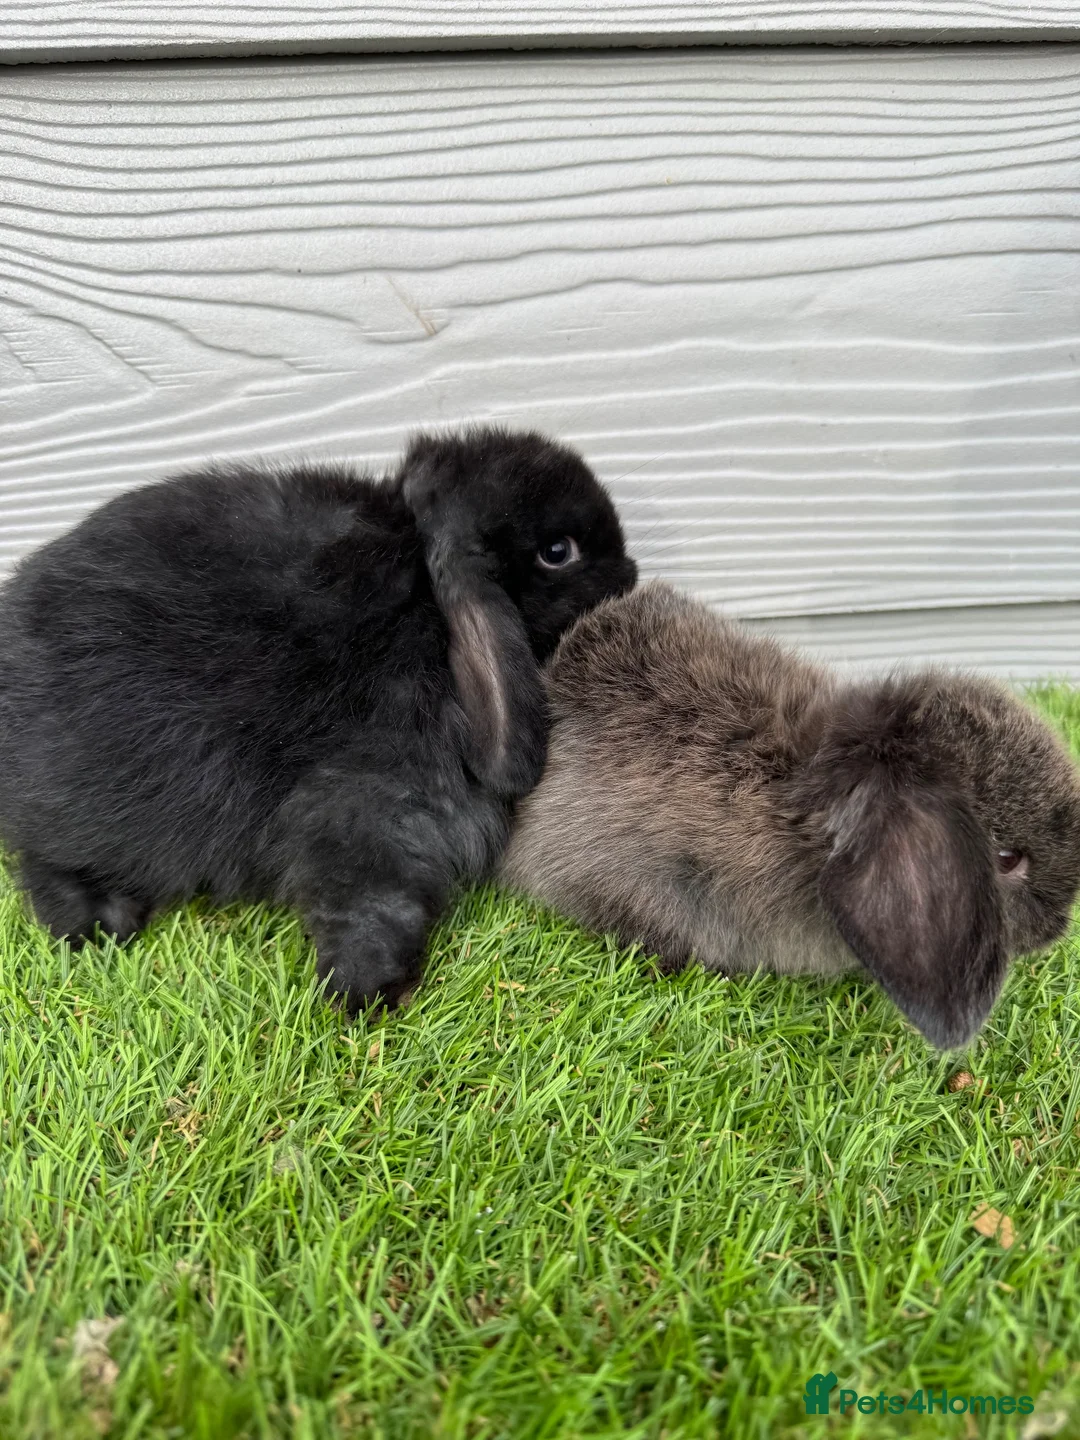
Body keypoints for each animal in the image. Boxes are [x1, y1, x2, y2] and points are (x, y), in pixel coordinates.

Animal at [0, 426, 637, 1012]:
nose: (631, 574)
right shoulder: (378, 796)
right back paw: (100, 920)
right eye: (559, 551)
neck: (426, 608)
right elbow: (371, 896)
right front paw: (362, 995)